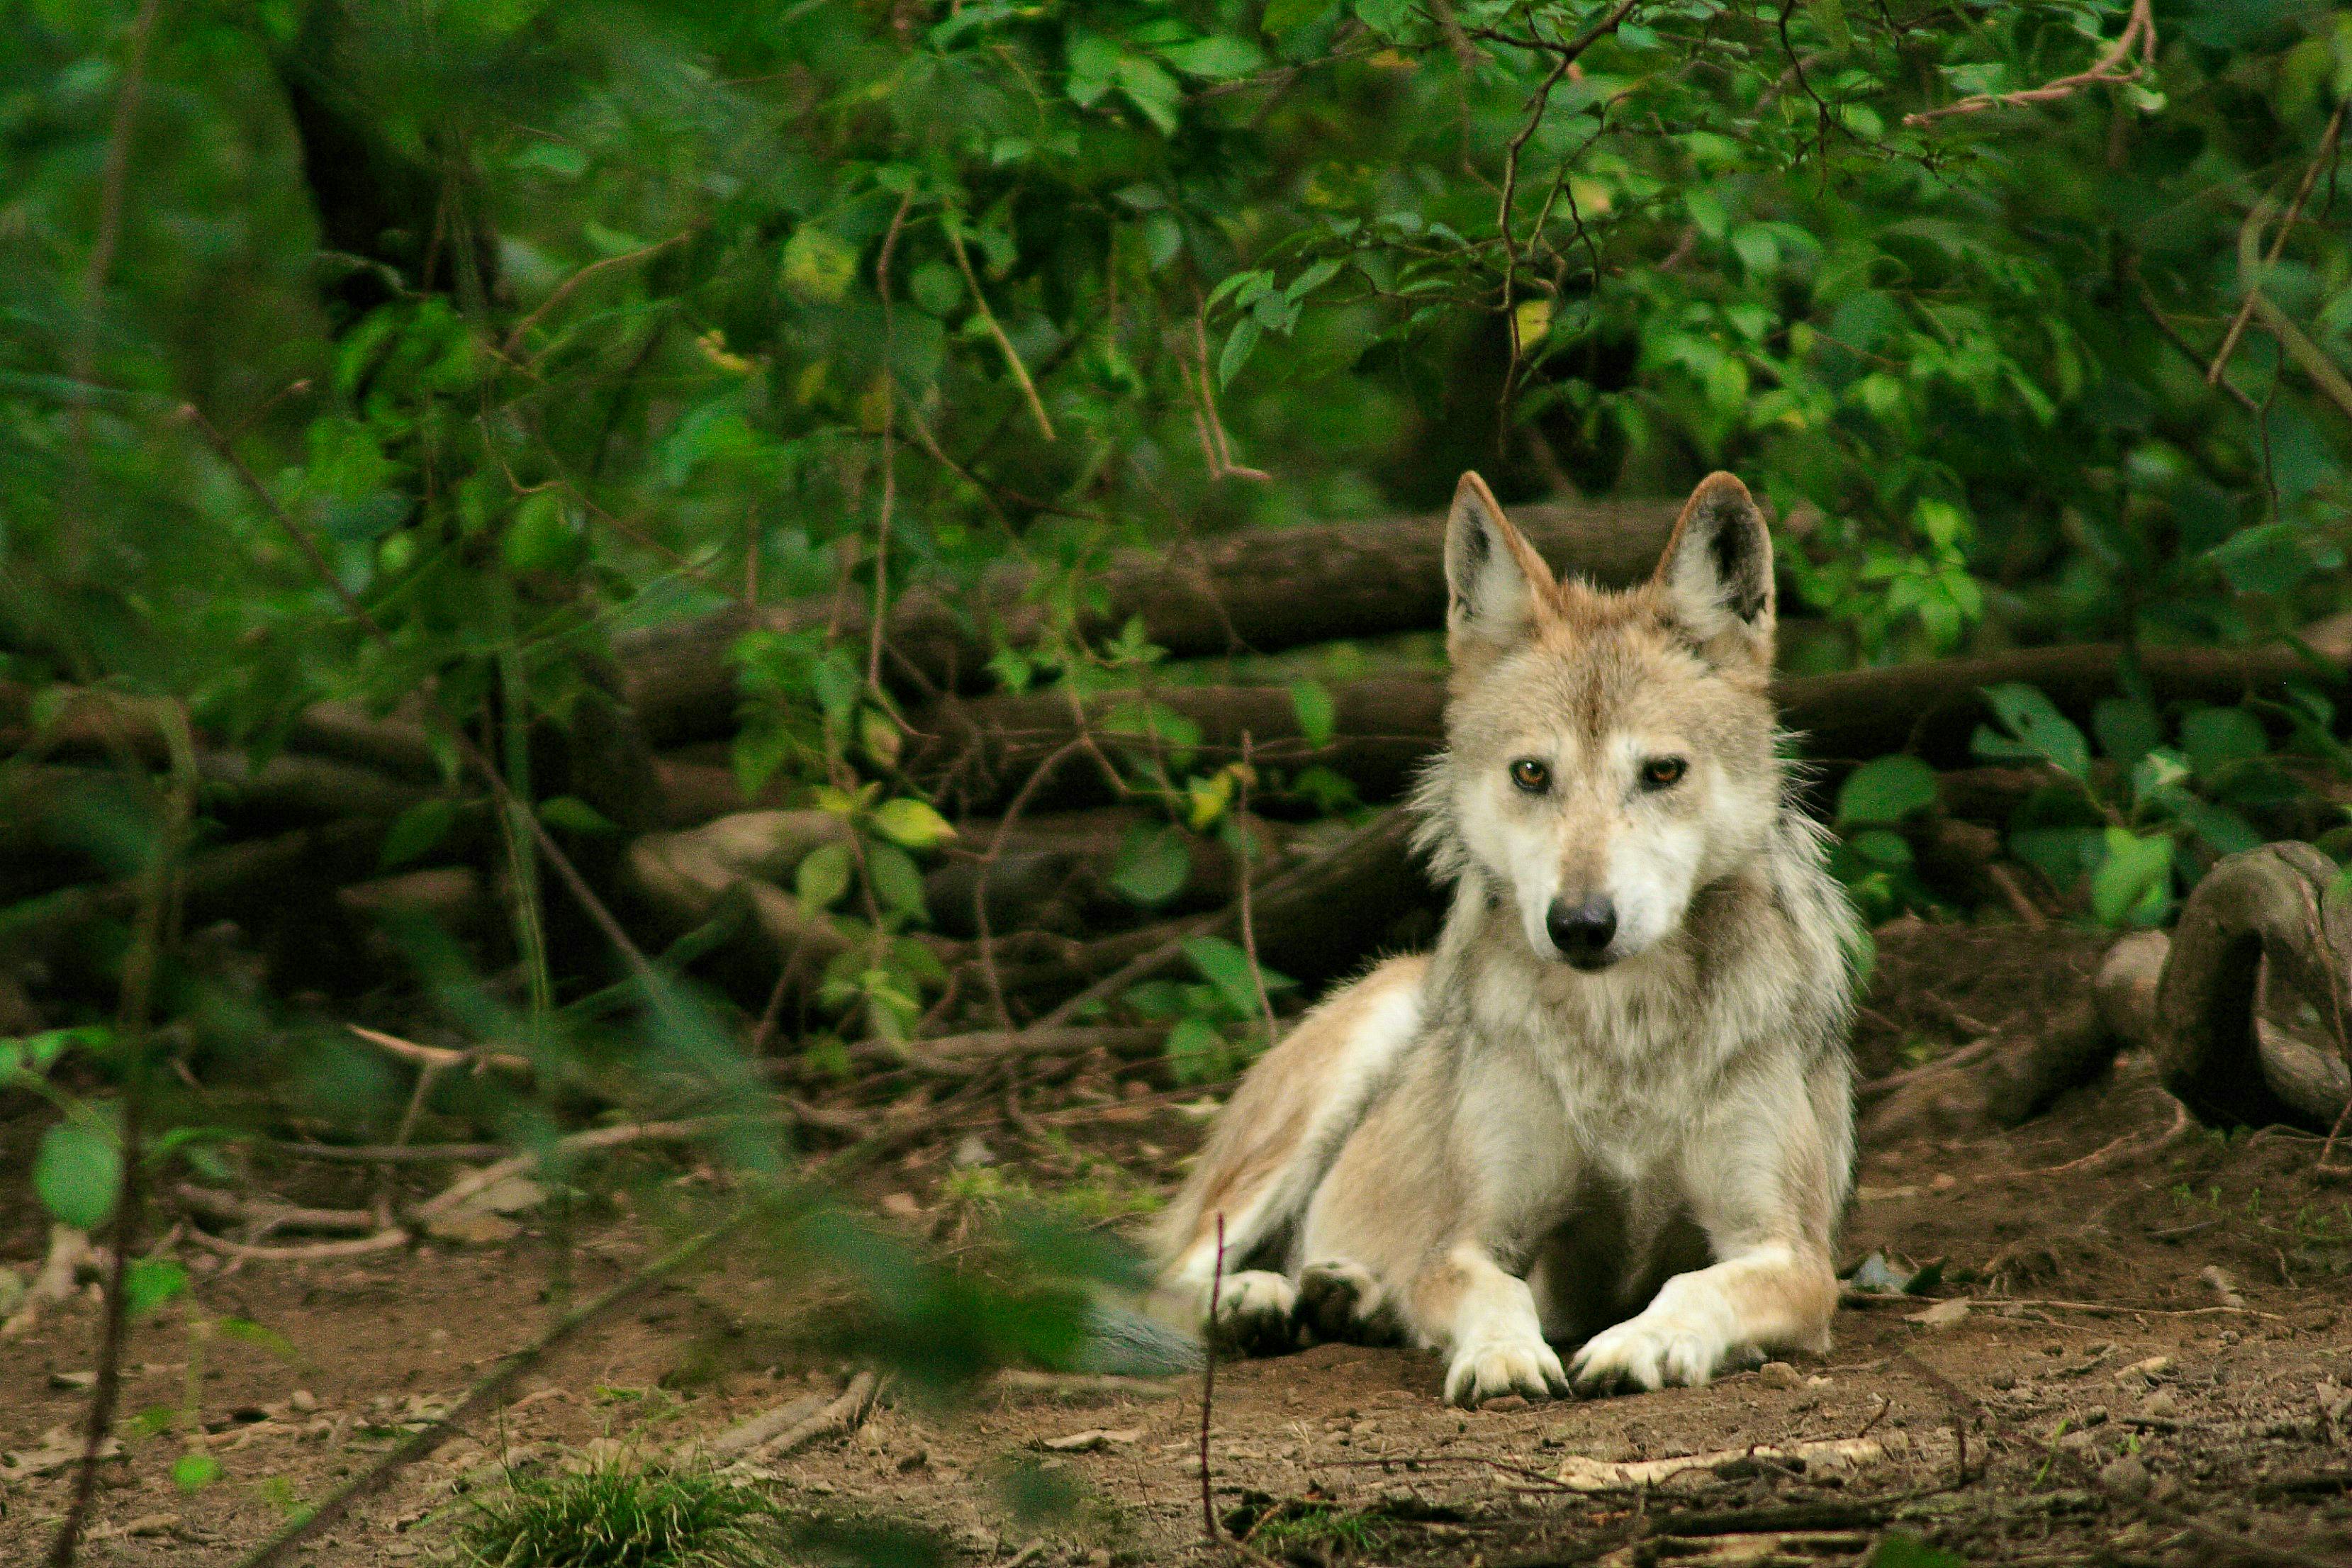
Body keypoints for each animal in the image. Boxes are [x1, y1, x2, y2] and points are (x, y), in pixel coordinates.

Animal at [1146, 471, 1861, 1406]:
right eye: (1531, 773)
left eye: (1662, 771)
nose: (1581, 924)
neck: (1622, 1036)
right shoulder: (1475, 1241)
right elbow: (1494, 1289)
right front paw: (1502, 1356)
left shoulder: (1792, 1253)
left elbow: (1693, 1283)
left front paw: (1642, 1342)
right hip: (1352, 1060)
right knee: (1166, 1278)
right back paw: (1258, 1301)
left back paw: (1346, 1297)